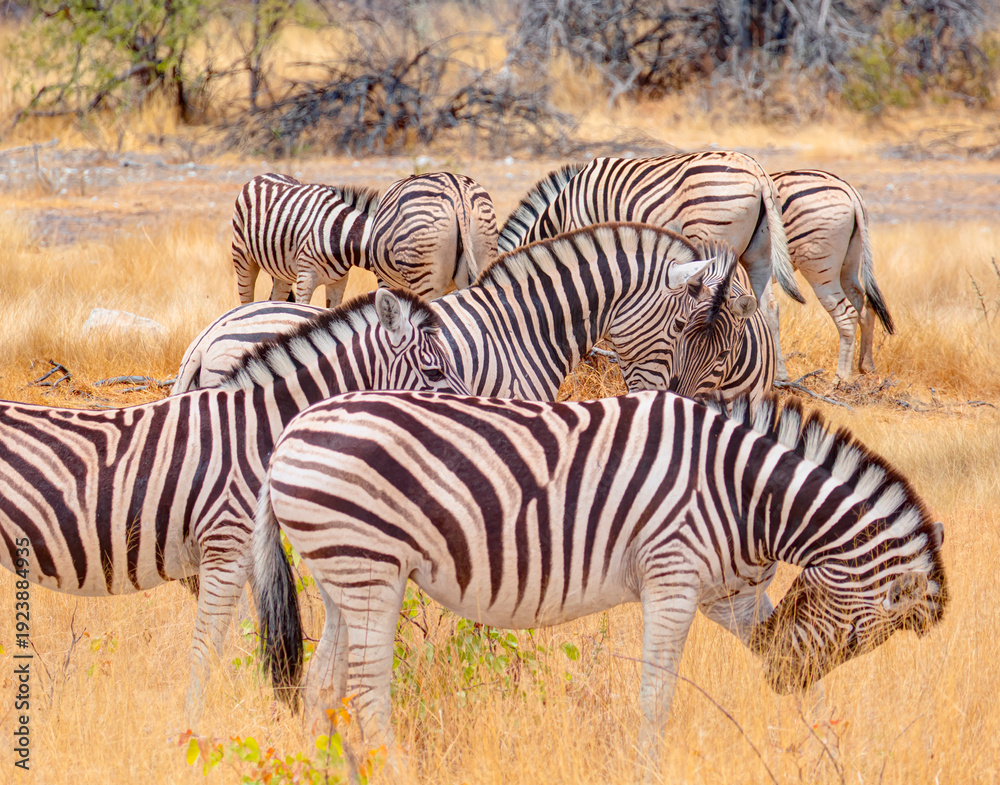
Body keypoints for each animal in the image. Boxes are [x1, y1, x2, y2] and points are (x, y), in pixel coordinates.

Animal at [0, 289, 468, 717]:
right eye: (434, 371)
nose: (464, 422)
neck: (258, 432)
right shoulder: (224, 548)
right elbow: (206, 650)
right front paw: (191, 727)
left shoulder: (244, 552)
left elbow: (253, 633)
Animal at [231, 173, 378, 308]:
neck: (341, 235)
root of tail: (261, 175)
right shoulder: (306, 276)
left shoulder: (338, 282)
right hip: (242, 258)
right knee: (246, 298)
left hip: (281, 273)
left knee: (276, 298)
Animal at [252, 389, 947, 760]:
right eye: (860, 639)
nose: (778, 678)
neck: (746, 496)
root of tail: (290, 433)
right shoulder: (674, 578)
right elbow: (656, 697)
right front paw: (648, 768)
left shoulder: (731, 594)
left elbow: (809, 682)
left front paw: (825, 752)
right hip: (370, 569)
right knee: (367, 692)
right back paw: (396, 769)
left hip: (345, 576)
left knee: (321, 686)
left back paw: (316, 765)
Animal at [496, 152, 808, 381]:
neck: (561, 214)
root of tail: (758, 172)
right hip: (760, 253)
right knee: (768, 307)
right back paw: (779, 376)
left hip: (715, 240)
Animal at [771, 169, 895, 381]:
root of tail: (848, 189)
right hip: (850, 262)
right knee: (864, 304)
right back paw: (865, 366)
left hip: (819, 268)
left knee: (847, 315)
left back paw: (840, 378)